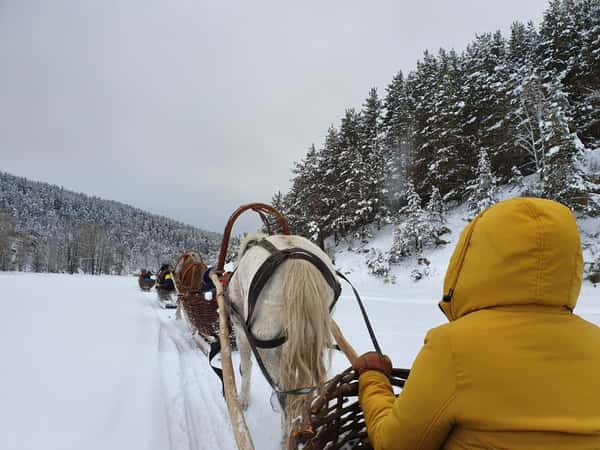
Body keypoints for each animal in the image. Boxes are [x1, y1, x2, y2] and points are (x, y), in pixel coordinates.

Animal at [227, 234, 338, 442]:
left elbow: (245, 368)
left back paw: (287, 433)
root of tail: (298, 263)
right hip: (314, 336)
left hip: (266, 346)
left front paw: (243, 401)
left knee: (283, 392)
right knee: (308, 384)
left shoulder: (241, 332)